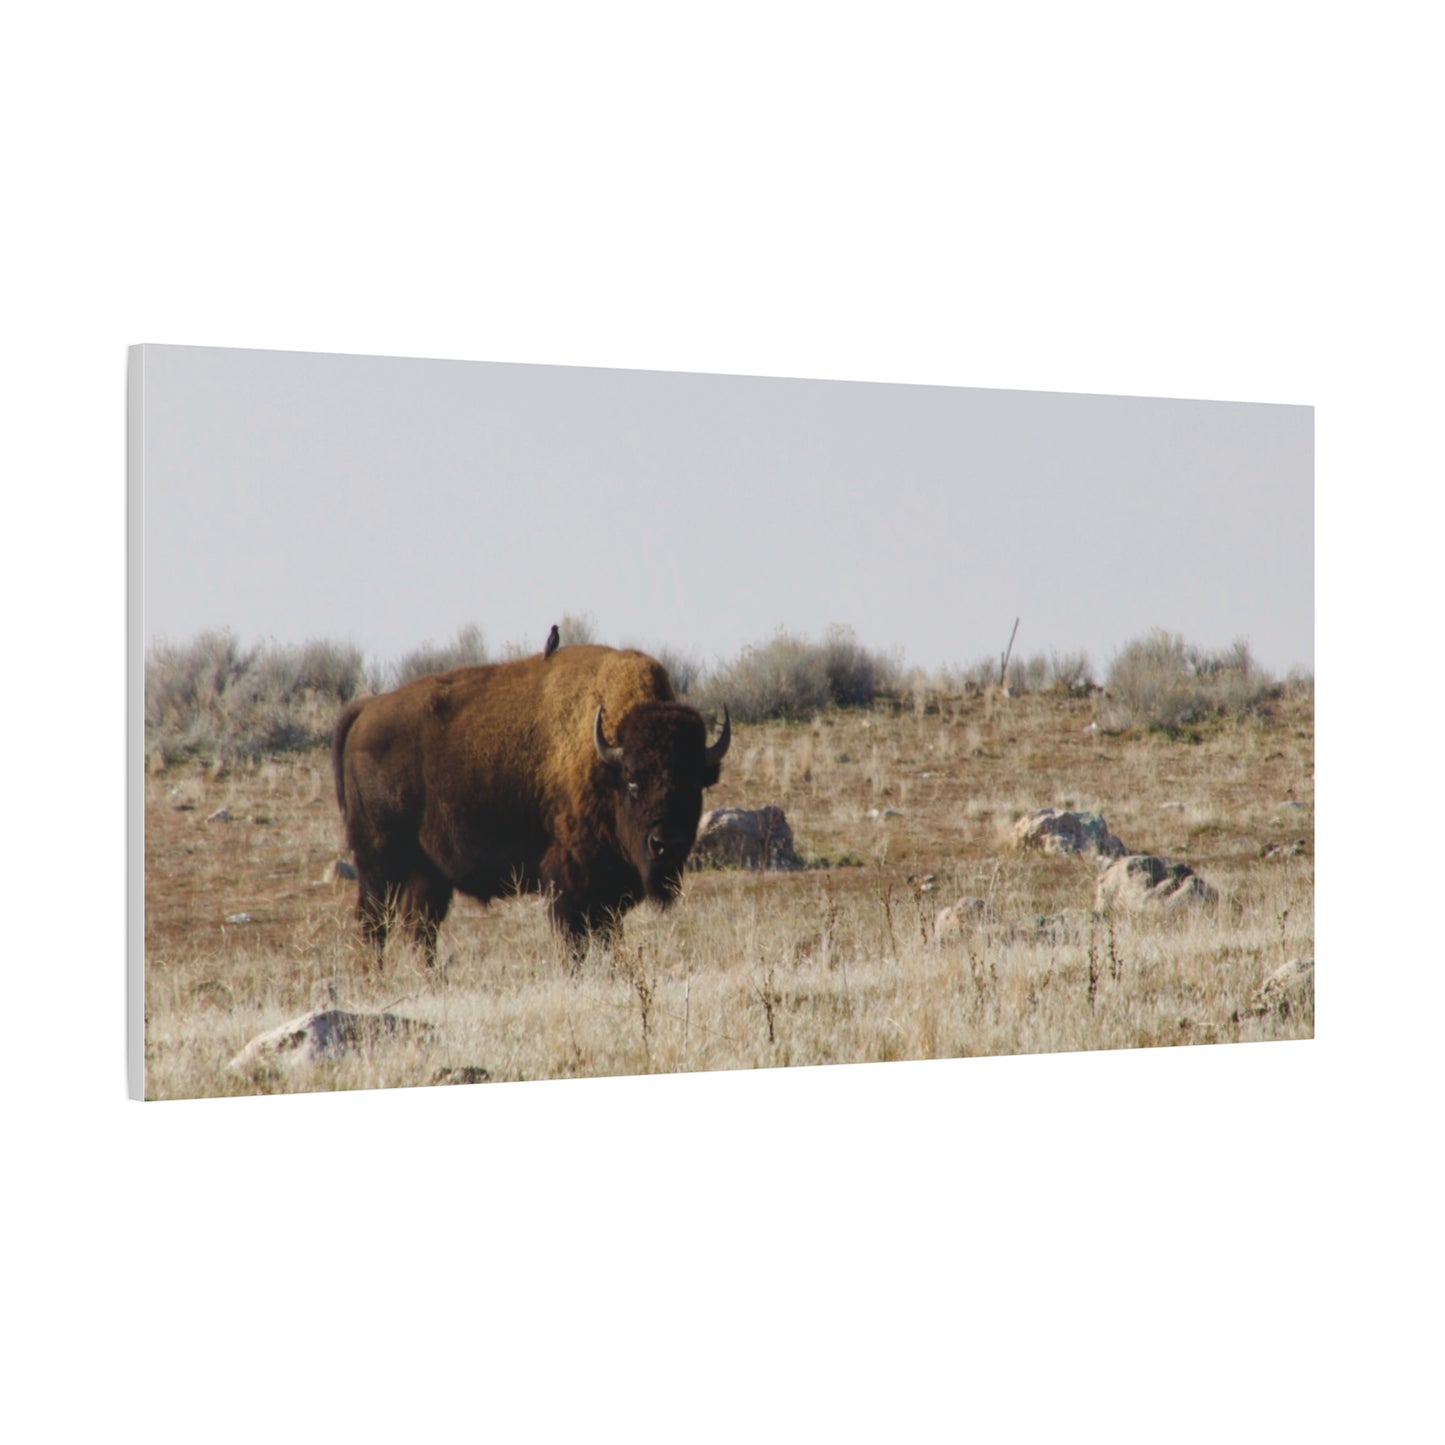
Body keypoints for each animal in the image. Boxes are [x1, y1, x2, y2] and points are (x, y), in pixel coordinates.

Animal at [332, 645, 729, 964]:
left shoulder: (610, 893)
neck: (604, 762)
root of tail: (366, 709)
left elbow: (606, 936)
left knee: (418, 928)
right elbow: (575, 940)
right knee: (374, 923)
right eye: (633, 780)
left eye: (694, 784)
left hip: (426, 872)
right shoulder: (571, 883)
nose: (665, 844)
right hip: (378, 862)